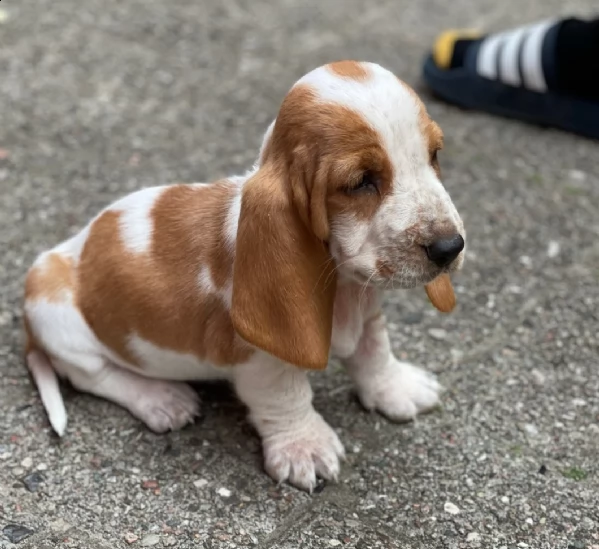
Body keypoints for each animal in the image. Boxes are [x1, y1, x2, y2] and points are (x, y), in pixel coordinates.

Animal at [23, 61, 466, 492]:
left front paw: (395, 388)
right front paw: (304, 446)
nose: (450, 247)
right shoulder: (261, 358)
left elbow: (374, 351)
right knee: (91, 375)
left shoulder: (368, 309)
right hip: (52, 309)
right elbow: (286, 394)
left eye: (434, 155)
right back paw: (161, 399)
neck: (344, 284)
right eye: (360, 182)